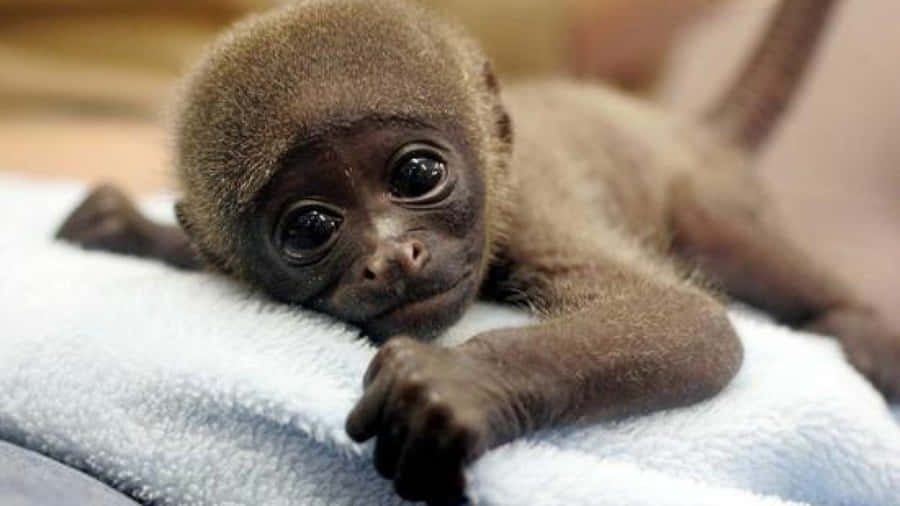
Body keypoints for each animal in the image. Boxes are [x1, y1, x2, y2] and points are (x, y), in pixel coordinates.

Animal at [55, 0, 898, 503]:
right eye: (309, 228)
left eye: (417, 175)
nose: (393, 256)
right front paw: (138, 231)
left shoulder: (527, 207)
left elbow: (688, 320)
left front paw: (454, 385)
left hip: (709, 186)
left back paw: (855, 326)